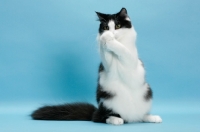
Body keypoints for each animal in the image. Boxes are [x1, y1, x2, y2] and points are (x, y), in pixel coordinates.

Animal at [31, 7, 162, 125]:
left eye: (118, 26)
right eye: (106, 27)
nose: (111, 33)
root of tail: (130, 118)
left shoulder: (130, 59)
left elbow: (122, 50)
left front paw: (110, 41)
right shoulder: (107, 65)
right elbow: (105, 51)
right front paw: (104, 38)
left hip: (147, 92)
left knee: (140, 116)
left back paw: (153, 118)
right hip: (105, 98)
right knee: (101, 117)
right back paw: (116, 120)